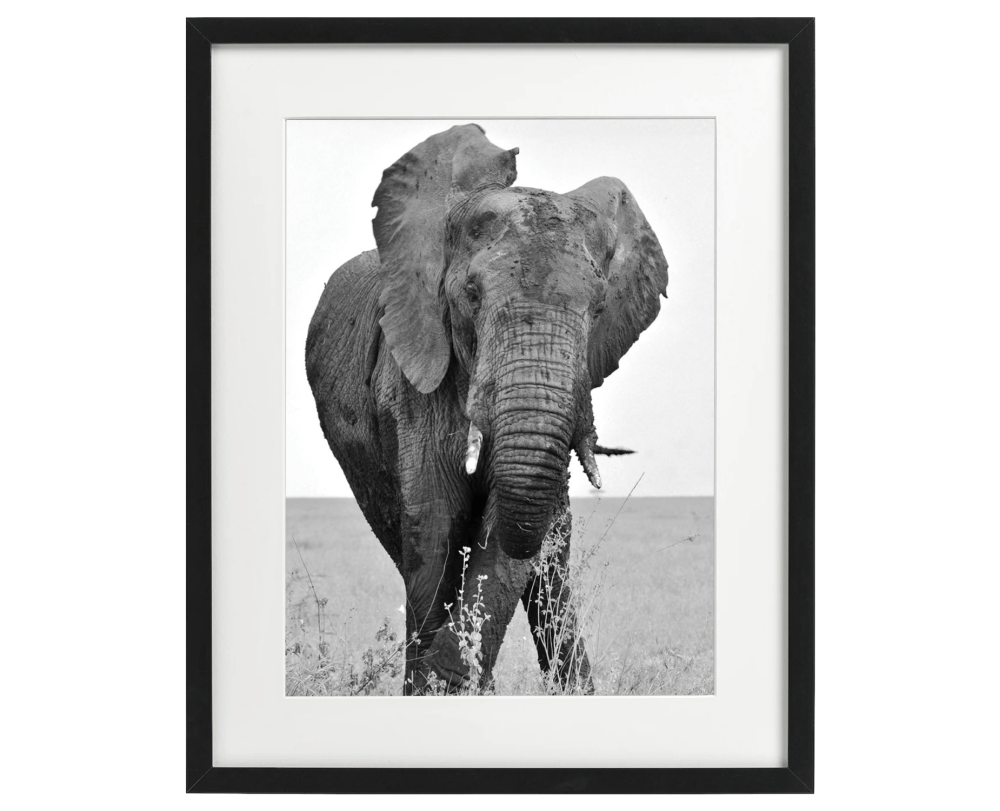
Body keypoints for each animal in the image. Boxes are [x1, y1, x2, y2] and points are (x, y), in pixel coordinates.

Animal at [306, 124, 669, 694]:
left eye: (599, 308)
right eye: (472, 295)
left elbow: (507, 524)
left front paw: (445, 681)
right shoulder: (413, 381)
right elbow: (434, 523)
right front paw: (433, 687)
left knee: (550, 562)